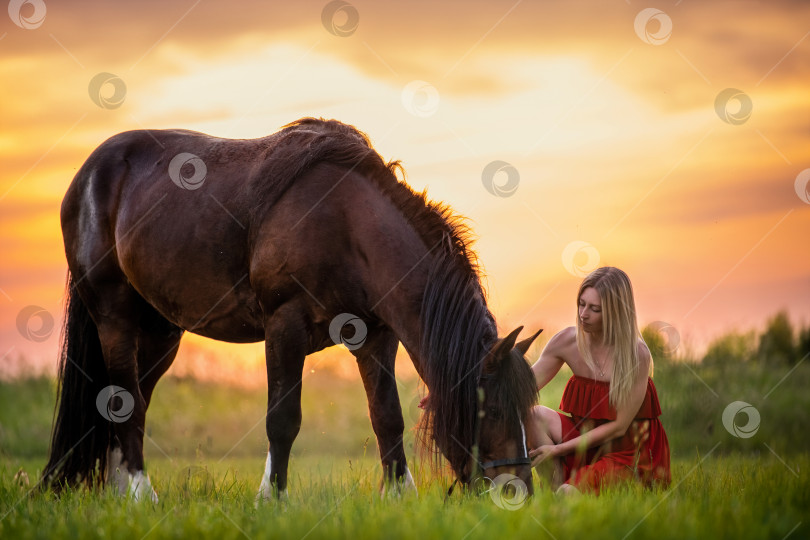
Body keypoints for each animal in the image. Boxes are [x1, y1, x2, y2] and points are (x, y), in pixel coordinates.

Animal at [41, 118, 540, 502]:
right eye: (494, 409)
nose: (518, 491)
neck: (346, 224)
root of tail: (88, 175)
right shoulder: (286, 326)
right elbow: (283, 421)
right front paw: (272, 498)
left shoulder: (377, 337)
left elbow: (387, 418)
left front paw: (399, 497)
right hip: (115, 318)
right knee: (126, 403)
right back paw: (144, 496)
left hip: (161, 332)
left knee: (129, 402)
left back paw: (119, 495)